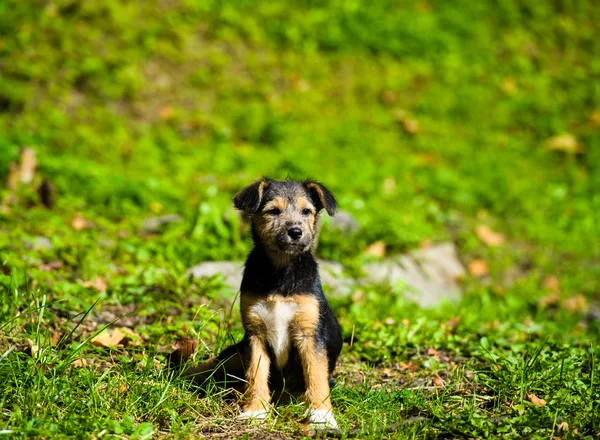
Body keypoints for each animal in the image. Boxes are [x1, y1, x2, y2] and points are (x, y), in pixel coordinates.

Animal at [178, 177, 342, 428]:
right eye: (273, 211)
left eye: (307, 211)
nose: (296, 232)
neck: (281, 273)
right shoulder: (255, 334)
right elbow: (256, 374)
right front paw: (255, 411)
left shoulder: (310, 335)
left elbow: (315, 375)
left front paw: (322, 416)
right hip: (237, 351)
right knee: (216, 363)